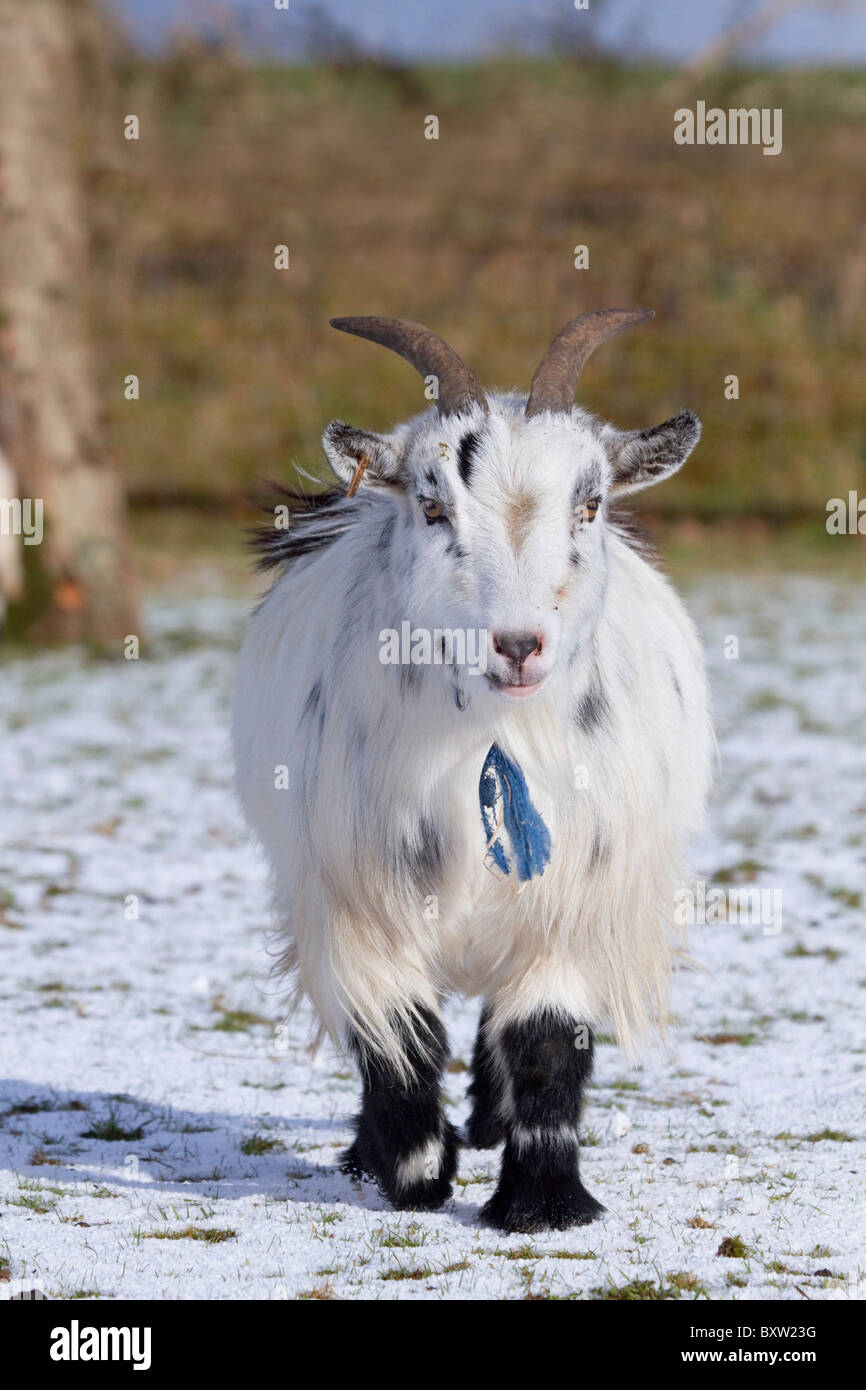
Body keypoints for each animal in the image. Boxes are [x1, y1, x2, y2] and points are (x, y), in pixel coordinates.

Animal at [232, 310, 713, 1232]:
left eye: (590, 504)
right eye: (431, 506)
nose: (520, 643)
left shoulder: (573, 902)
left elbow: (545, 1040)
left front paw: (544, 1202)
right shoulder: (356, 901)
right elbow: (399, 1038)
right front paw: (414, 1174)